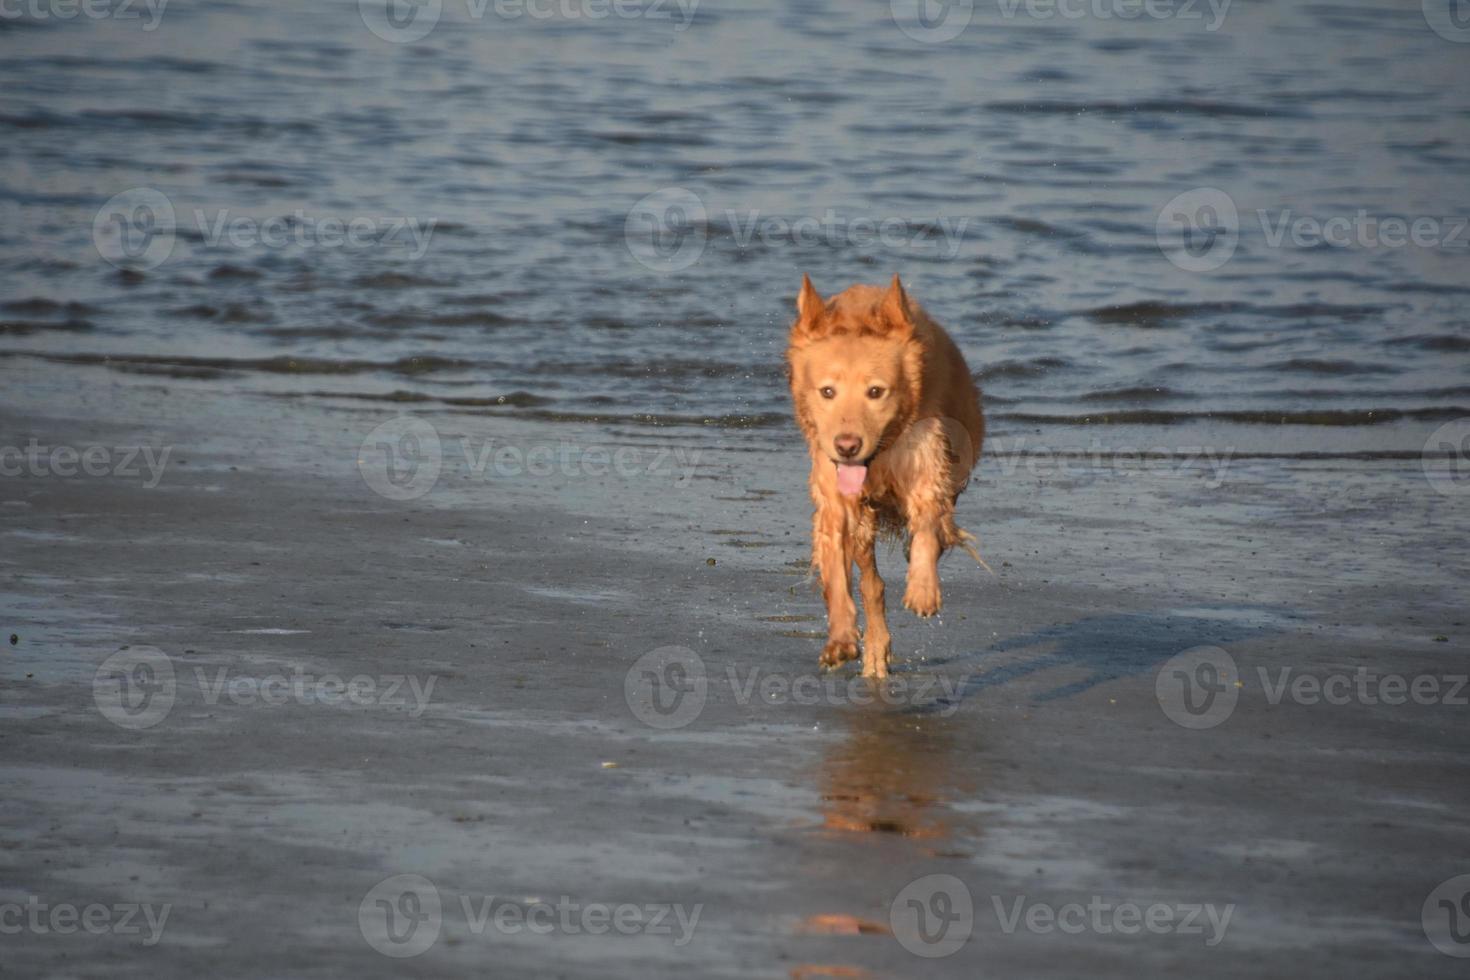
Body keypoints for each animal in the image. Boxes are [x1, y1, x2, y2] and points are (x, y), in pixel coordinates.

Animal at [787, 271, 981, 678]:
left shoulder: (927, 466)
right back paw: (875, 651)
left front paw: (923, 589)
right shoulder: (835, 498)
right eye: (827, 391)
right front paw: (841, 638)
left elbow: (928, 528)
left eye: (876, 391)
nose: (846, 445)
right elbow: (837, 572)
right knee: (872, 586)